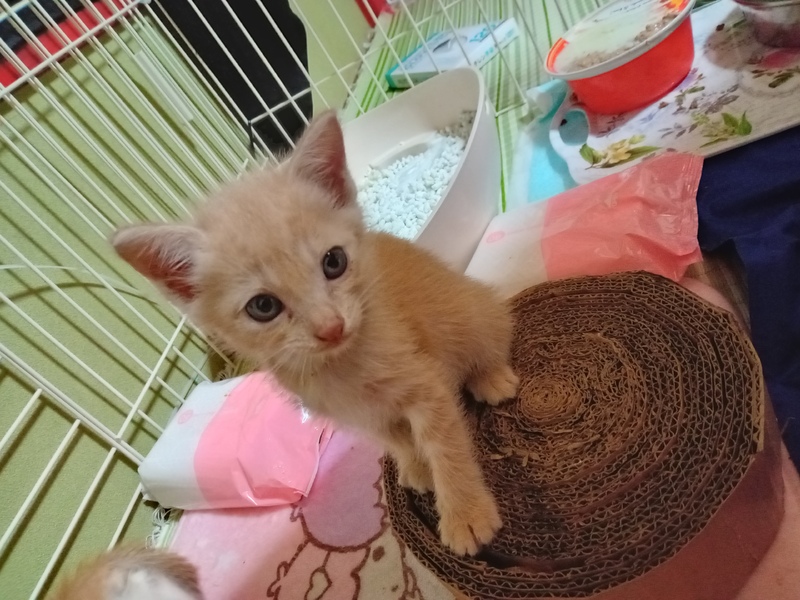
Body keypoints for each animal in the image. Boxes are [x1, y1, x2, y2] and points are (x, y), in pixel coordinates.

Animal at [112, 110, 519, 555]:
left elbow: (446, 446)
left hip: (471, 313)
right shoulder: (363, 417)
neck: (338, 368)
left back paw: (492, 377)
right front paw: (416, 466)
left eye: (334, 262)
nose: (331, 326)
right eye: (263, 307)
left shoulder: (426, 384)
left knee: (494, 333)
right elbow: (397, 440)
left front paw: (465, 514)